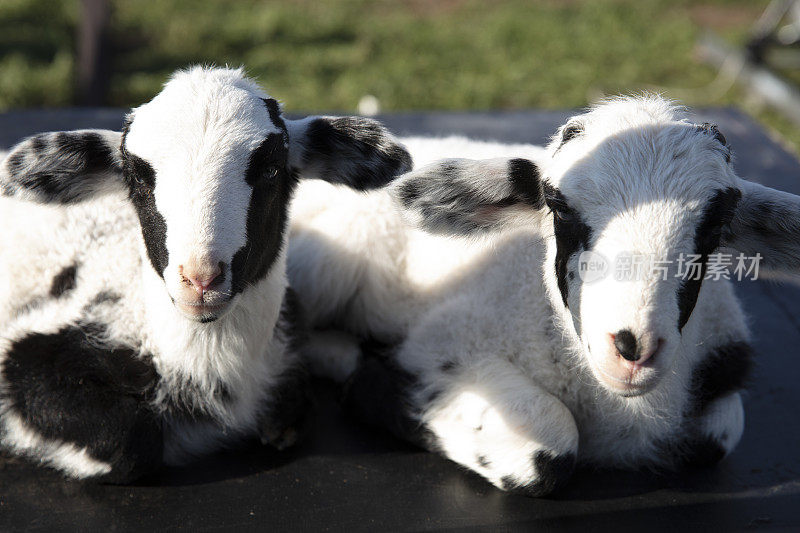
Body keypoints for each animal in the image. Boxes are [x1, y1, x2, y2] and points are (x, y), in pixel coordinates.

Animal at [286, 94, 792, 494]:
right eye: (559, 208)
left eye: (716, 227)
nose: (633, 348)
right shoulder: (444, 340)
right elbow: (550, 448)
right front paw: (366, 382)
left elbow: (720, 434)